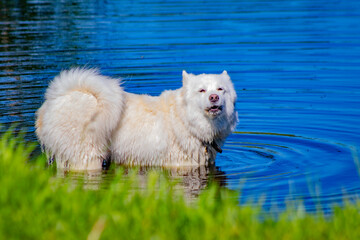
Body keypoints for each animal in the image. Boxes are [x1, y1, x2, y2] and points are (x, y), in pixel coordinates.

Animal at [35, 68, 238, 171]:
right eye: (202, 90)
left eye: (220, 89)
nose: (214, 97)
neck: (186, 120)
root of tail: (58, 97)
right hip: (85, 157)